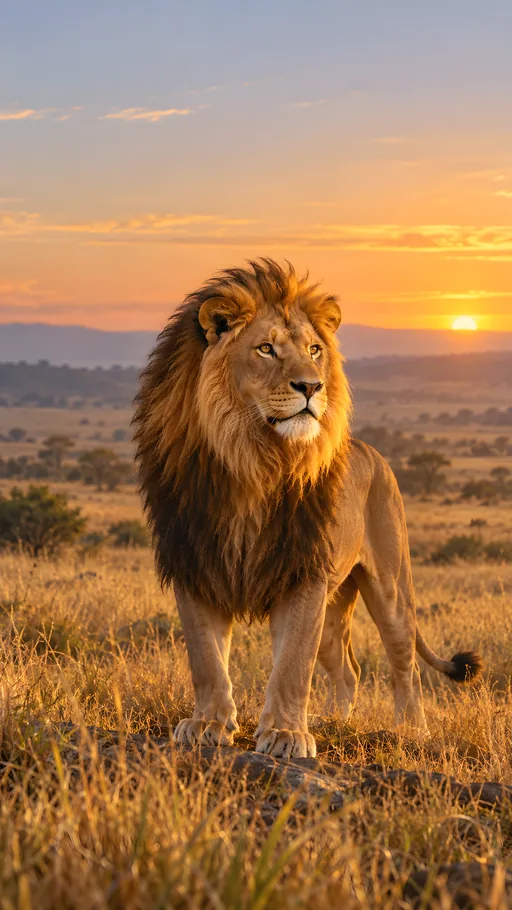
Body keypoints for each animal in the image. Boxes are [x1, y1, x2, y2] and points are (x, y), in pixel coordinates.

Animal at [134, 259, 481, 759]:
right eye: (266, 349)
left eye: (315, 350)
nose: (311, 386)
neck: (253, 459)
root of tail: (376, 455)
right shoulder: (196, 563)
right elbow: (206, 659)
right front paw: (207, 724)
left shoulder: (303, 572)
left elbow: (293, 665)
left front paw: (285, 735)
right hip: (335, 607)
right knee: (348, 670)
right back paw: (333, 721)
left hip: (391, 587)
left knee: (405, 666)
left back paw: (412, 733)